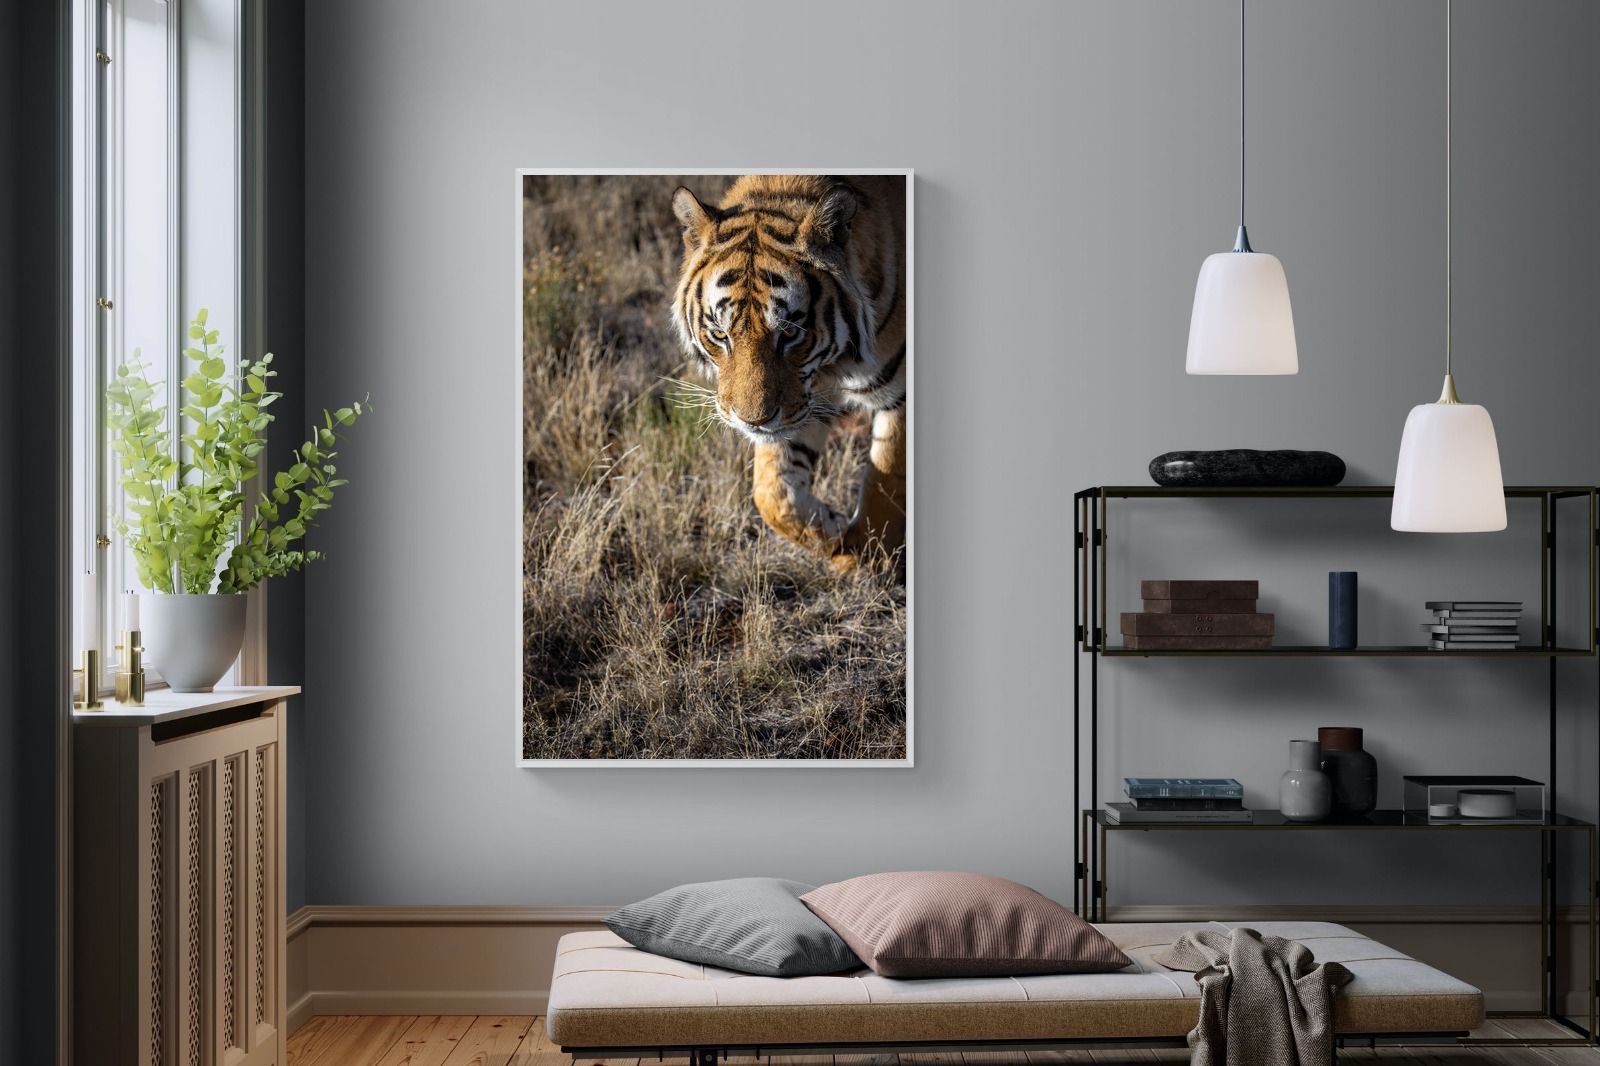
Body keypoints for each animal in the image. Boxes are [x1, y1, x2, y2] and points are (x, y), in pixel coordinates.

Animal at [670, 174, 907, 571]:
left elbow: (885, 480)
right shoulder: (804, 402)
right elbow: (772, 493)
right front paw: (834, 532)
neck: (834, 365)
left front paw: (868, 557)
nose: (752, 421)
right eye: (720, 334)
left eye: (790, 333)